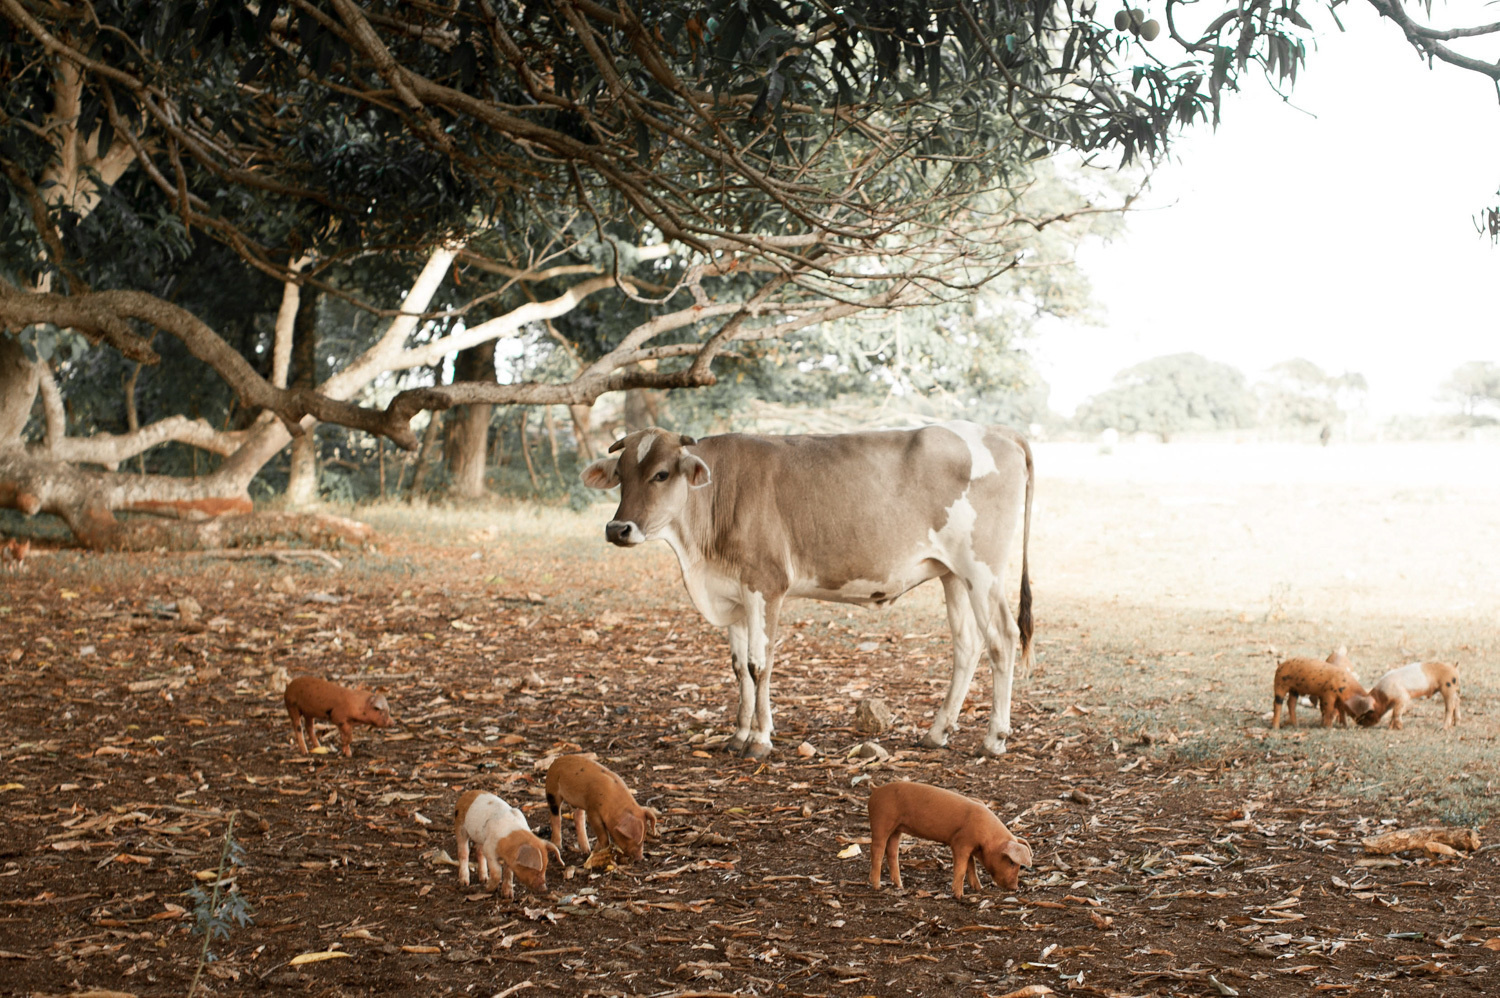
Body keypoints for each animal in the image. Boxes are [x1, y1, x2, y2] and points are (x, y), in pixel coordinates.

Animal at [580, 422, 1034, 759]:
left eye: (661, 474)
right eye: (621, 476)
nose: (618, 529)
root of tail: (1000, 431)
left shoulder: (766, 585)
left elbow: (759, 664)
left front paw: (760, 740)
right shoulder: (735, 595)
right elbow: (738, 666)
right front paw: (738, 735)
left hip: (984, 569)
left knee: (1002, 639)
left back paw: (994, 738)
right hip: (953, 573)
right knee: (967, 644)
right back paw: (937, 731)